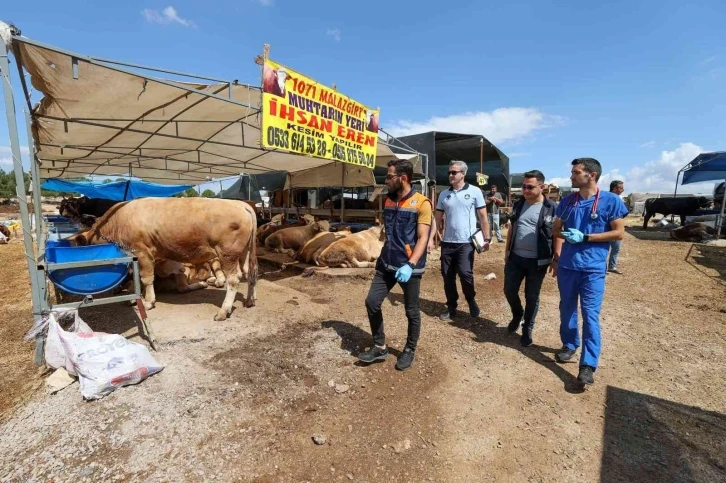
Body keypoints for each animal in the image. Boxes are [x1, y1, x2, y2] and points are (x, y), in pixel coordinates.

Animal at [66, 198, 258, 322]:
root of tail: (240, 204)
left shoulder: (142, 252)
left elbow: (146, 278)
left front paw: (148, 302)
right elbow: (138, 277)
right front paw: (135, 296)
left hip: (228, 253)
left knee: (233, 280)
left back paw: (223, 311)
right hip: (245, 252)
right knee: (250, 273)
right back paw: (250, 300)